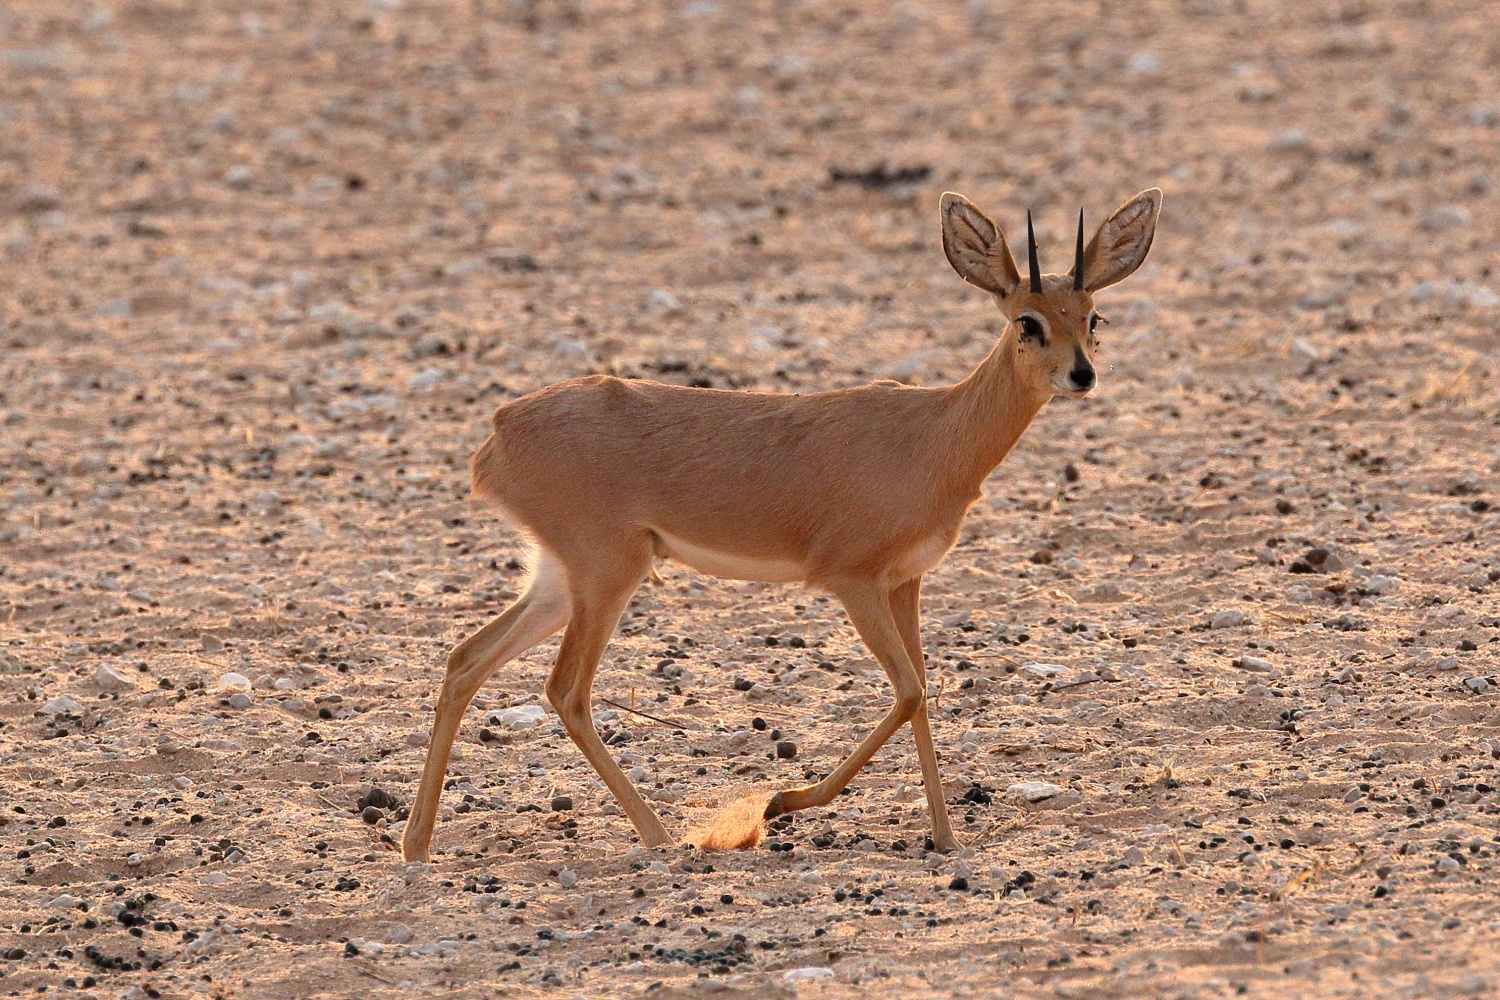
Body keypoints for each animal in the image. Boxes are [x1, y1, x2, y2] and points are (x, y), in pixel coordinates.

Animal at [405, 191, 1164, 863]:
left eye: (1092, 316)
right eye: (1027, 321)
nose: (1082, 375)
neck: (935, 436)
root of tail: (502, 428)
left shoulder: (905, 583)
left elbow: (922, 693)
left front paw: (947, 838)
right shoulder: (851, 580)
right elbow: (909, 691)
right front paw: (778, 803)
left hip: (561, 578)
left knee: (465, 658)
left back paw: (417, 845)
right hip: (607, 574)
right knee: (566, 690)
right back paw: (662, 837)